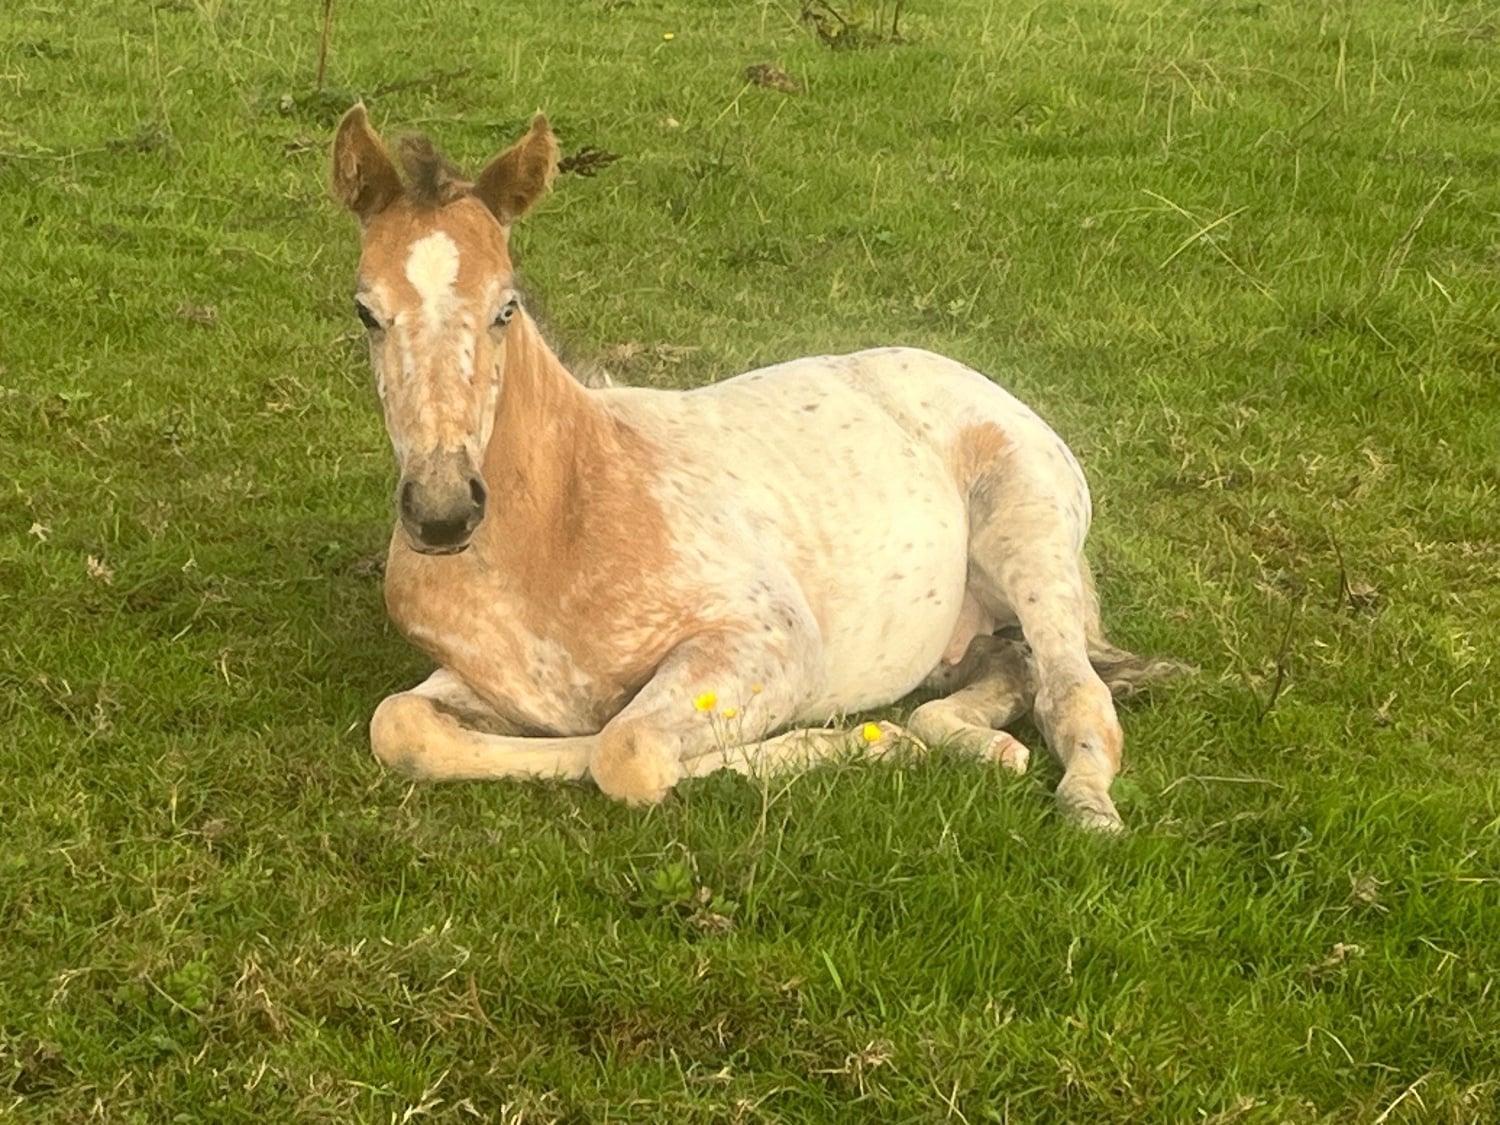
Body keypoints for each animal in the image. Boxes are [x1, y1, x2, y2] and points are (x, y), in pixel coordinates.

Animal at [329, 105, 1181, 831]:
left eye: (505, 306)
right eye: (366, 311)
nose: (442, 511)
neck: (563, 522)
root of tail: (976, 378)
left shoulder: (770, 642)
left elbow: (626, 748)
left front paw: (859, 743)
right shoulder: (488, 680)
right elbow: (402, 726)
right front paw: (877, 742)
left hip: (1030, 537)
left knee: (1073, 690)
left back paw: (1086, 805)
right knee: (1012, 671)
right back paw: (973, 742)